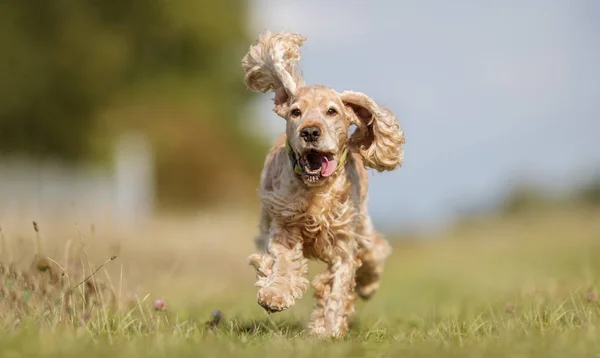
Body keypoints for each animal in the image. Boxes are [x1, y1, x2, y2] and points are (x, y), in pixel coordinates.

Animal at [241, 30, 406, 338]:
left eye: (331, 111)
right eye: (296, 112)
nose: (310, 132)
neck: (315, 189)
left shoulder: (344, 240)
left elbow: (338, 287)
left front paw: (328, 330)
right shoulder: (284, 222)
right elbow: (282, 262)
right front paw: (275, 294)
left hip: (362, 225)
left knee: (374, 249)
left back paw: (367, 284)